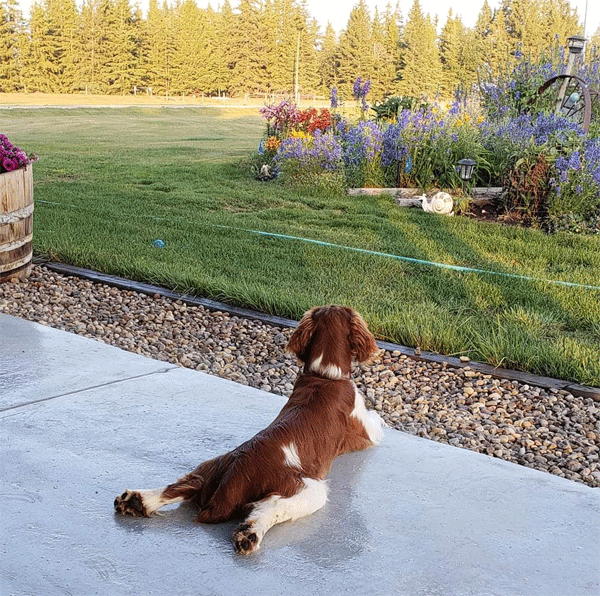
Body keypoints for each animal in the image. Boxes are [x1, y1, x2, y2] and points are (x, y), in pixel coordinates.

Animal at [115, 308, 382, 556]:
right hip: (308, 488)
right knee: (270, 508)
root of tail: (233, 476)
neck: (326, 375)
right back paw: (249, 533)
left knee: (184, 484)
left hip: (209, 468)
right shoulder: (365, 432)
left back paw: (136, 500)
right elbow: (376, 422)